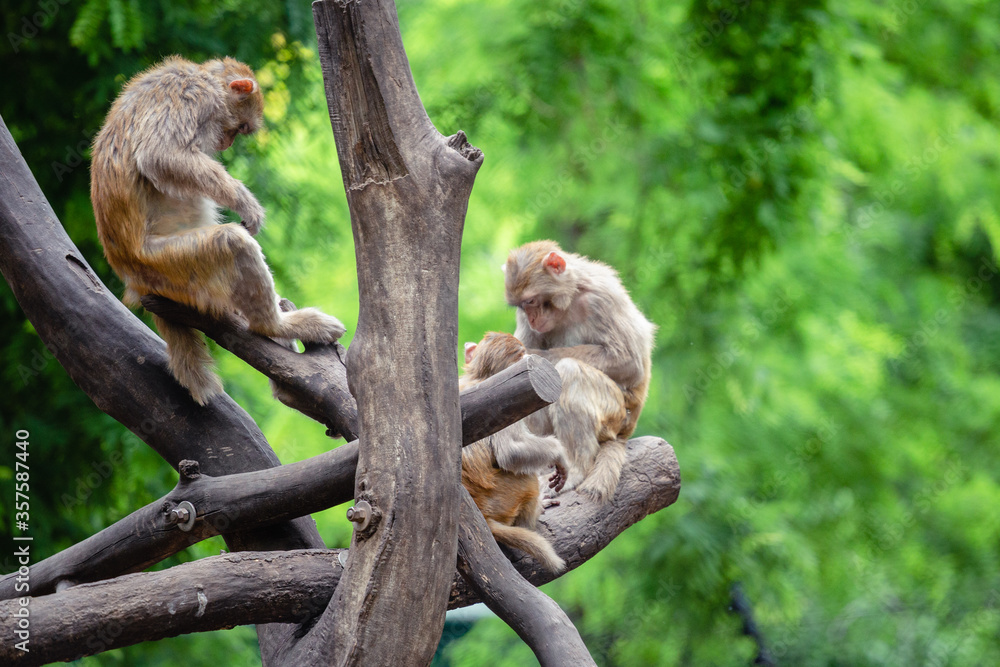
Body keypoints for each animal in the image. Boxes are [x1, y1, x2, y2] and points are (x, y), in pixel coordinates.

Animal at [91, 56, 345, 405]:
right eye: (240, 128)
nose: (226, 143)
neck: (202, 76)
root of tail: (134, 283)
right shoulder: (192, 97)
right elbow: (160, 156)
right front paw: (245, 201)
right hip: (168, 267)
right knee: (233, 241)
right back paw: (275, 325)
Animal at [460, 332, 568, 573]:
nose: (530, 357)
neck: (480, 376)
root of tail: (482, 513)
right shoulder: (501, 406)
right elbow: (511, 452)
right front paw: (559, 454)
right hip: (506, 497)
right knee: (527, 478)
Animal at [503, 240, 656, 501]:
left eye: (531, 301)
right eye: (522, 307)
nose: (531, 318)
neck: (570, 298)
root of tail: (626, 431)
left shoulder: (602, 299)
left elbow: (628, 361)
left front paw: (527, 354)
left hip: (616, 415)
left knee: (570, 371)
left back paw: (576, 470)